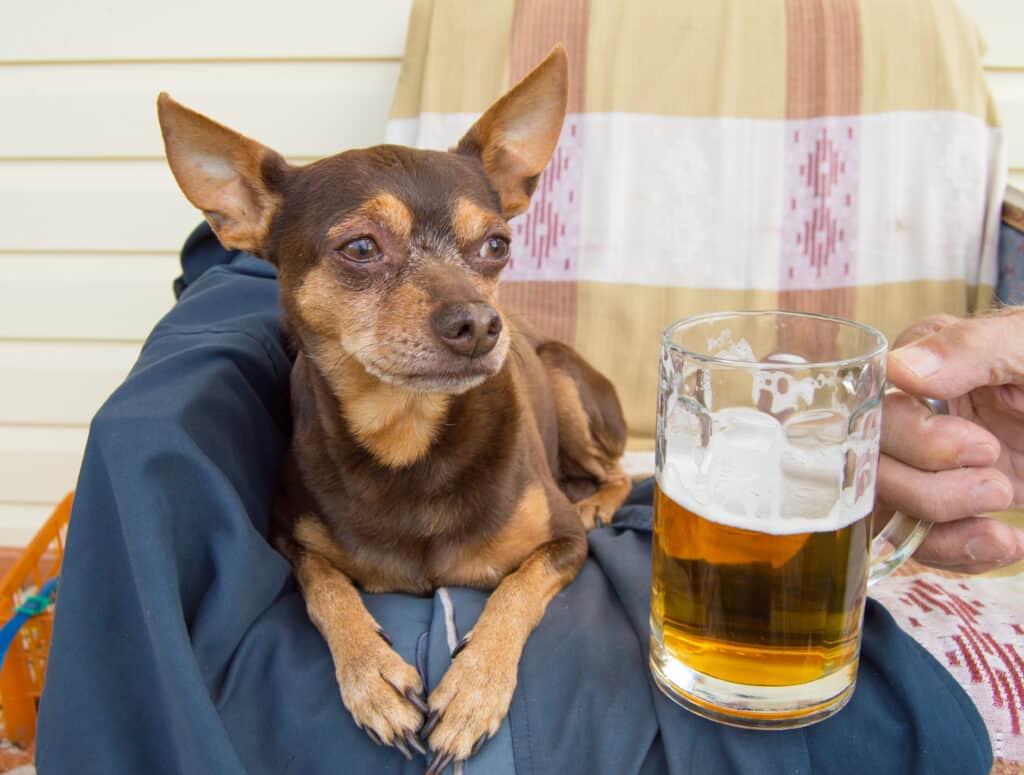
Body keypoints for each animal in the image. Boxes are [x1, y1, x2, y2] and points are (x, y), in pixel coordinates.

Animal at [155, 45, 626, 769]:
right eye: (360, 248)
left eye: (497, 245)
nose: (480, 324)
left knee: (620, 468)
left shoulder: (563, 546)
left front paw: (474, 689)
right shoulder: (288, 539)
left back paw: (598, 499)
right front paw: (371, 676)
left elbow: (515, 591)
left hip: (567, 385)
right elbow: (327, 589)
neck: (409, 440)